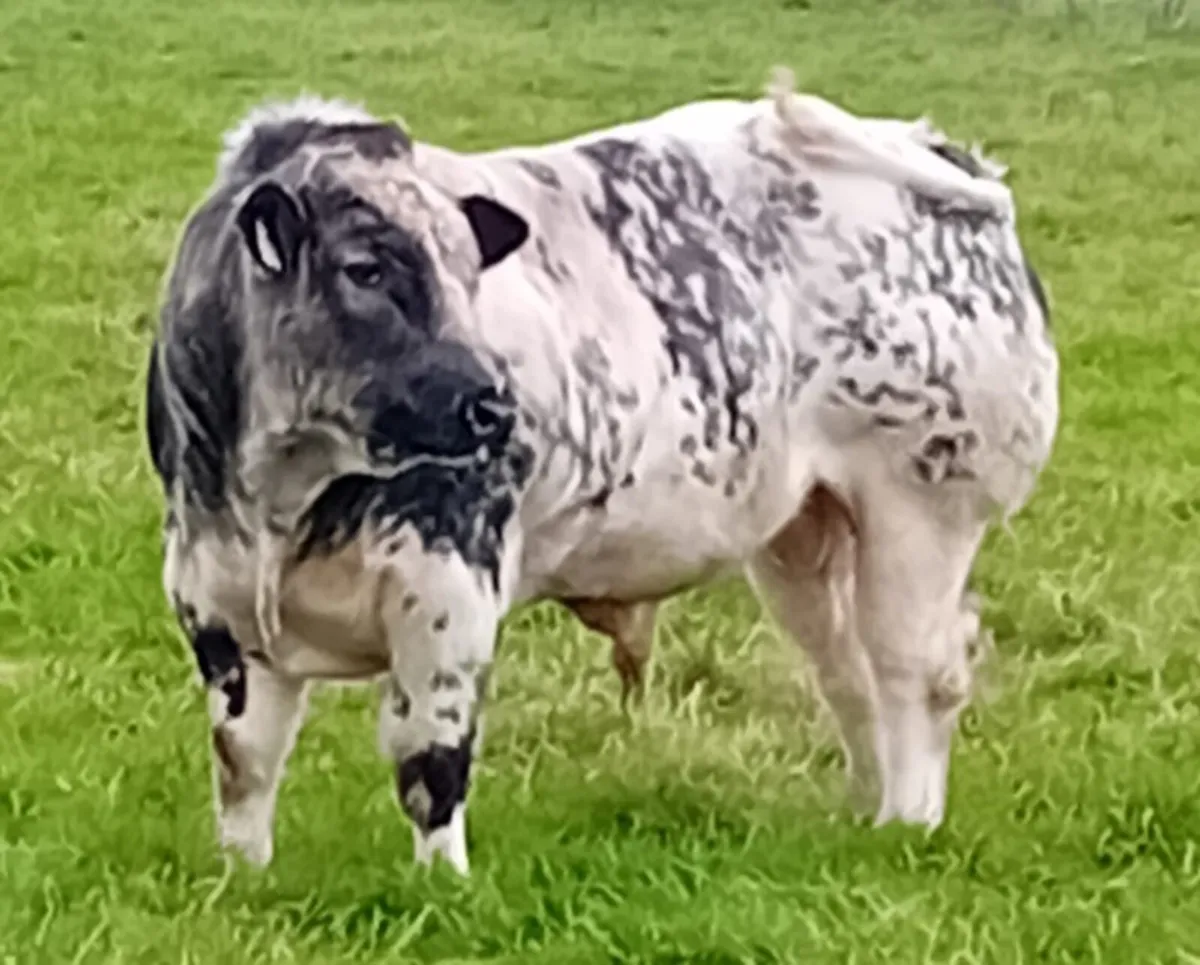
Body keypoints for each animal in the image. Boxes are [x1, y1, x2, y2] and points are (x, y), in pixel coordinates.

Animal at [144, 68, 1058, 877]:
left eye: (470, 272)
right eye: (365, 268)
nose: (490, 404)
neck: (280, 499)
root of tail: (930, 147)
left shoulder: (449, 592)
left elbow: (430, 760)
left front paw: (443, 883)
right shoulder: (211, 600)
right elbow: (245, 761)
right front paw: (243, 875)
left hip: (922, 505)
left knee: (916, 671)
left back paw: (908, 821)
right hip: (803, 536)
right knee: (850, 673)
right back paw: (864, 816)